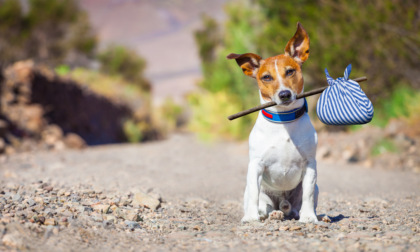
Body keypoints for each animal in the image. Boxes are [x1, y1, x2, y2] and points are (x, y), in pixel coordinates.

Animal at [228, 21, 316, 222]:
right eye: (266, 77)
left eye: (290, 71)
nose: (284, 94)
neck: (284, 121)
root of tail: (282, 202)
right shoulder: (255, 165)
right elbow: (254, 194)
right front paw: (251, 218)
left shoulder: (310, 164)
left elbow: (307, 193)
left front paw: (309, 217)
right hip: (258, 193)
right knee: (264, 205)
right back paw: (272, 213)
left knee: (297, 206)